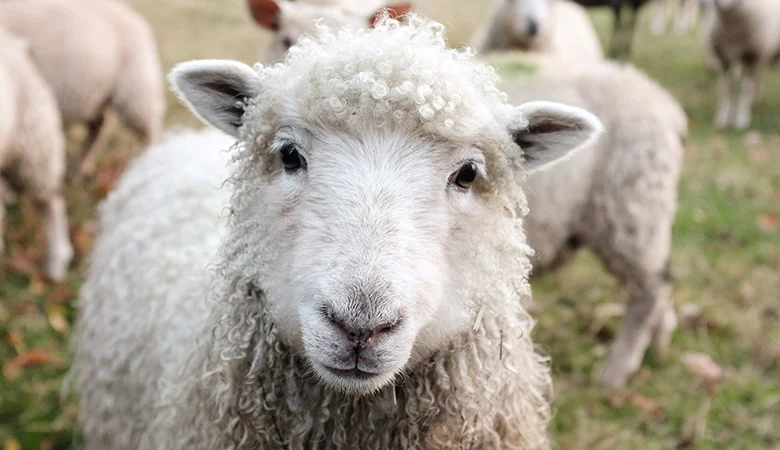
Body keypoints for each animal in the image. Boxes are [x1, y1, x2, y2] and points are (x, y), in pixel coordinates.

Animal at [0, 0, 166, 176]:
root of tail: (138, 21)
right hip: (98, 93)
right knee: (97, 128)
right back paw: (82, 167)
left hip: (136, 88)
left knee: (150, 128)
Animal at [485, 51, 686, 388]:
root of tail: (665, 104)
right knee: (664, 275)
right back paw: (660, 341)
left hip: (629, 208)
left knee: (652, 288)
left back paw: (616, 372)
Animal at [705, 0, 780, 130]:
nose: (715, 2)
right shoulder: (725, 58)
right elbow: (725, 88)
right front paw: (722, 118)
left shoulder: (752, 57)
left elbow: (746, 89)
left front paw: (741, 120)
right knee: (759, 75)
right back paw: (756, 100)